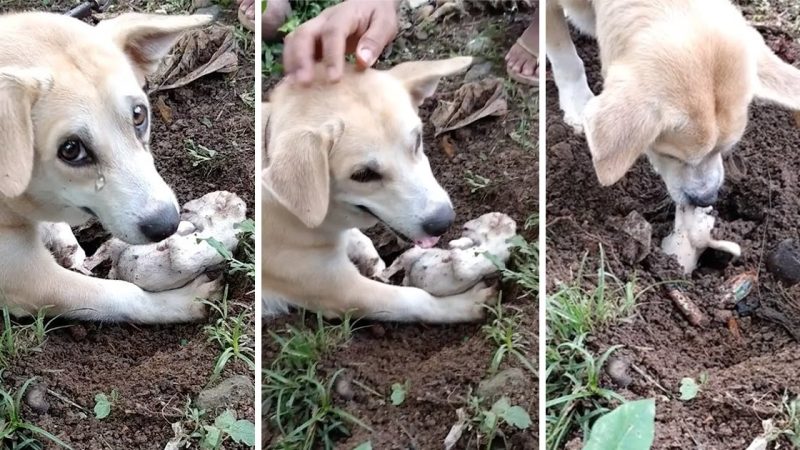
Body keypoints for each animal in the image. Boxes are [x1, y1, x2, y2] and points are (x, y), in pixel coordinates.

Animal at [0, 12, 220, 322]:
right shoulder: (29, 280)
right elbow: (124, 294)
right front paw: (179, 303)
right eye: (71, 150)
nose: (168, 225)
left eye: (139, 114)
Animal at [266, 58, 496, 322]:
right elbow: (416, 300)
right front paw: (463, 305)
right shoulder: (340, 289)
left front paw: (365, 251)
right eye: (363, 175)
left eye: (418, 140)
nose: (444, 221)